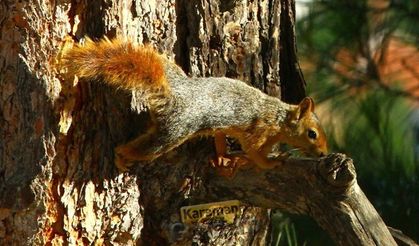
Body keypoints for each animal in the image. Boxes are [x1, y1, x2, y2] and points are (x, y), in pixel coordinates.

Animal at [58, 38, 328, 171]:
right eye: (312, 134)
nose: (324, 154)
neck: (279, 120)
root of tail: (175, 93)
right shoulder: (259, 130)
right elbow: (253, 152)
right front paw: (270, 162)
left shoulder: (226, 128)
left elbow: (221, 138)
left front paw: (224, 157)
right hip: (174, 132)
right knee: (138, 149)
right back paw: (121, 157)